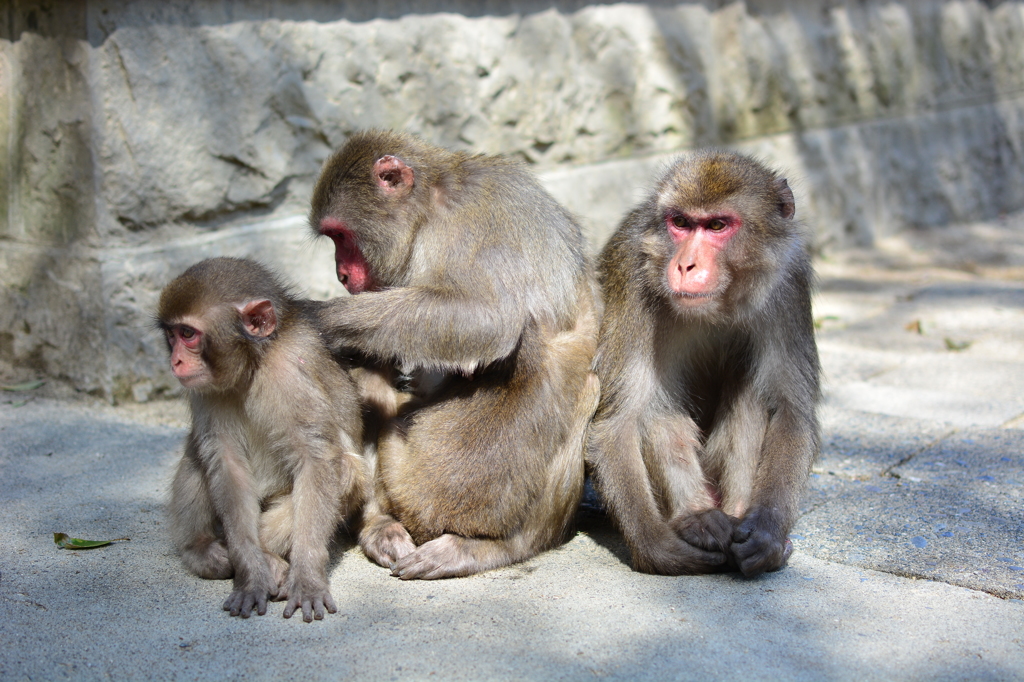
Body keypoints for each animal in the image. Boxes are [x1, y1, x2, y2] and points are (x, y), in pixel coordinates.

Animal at [157, 254, 366, 614]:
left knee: (346, 469)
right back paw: (201, 548)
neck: (255, 365)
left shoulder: (291, 374)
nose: (176, 361)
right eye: (171, 335)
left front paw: (306, 577)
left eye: (188, 333)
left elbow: (316, 460)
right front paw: (251, 574)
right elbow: (227, 463)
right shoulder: (206, 392)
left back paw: (272, 558)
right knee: (198, 451)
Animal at [307, 129, 598, 577]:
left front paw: (320, 318)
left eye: (340, 236)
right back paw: (379, 524)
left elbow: (486, 318)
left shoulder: (467, 222)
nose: (340, 274)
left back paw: (498, 548)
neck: (431, 201)